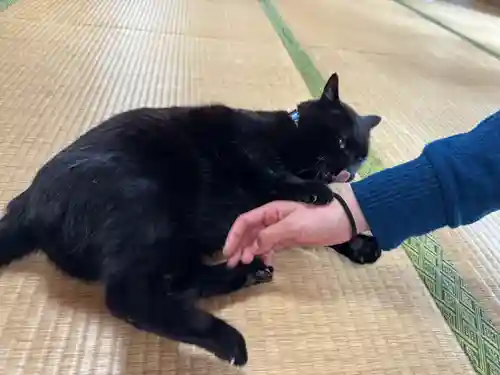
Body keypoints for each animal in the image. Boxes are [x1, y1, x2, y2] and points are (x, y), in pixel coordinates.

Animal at [0, 72, 380, 364]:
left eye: (362, 157)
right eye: (342, 142)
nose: (349, 173)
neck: (292, 143)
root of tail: (26, 203)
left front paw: (361, 245)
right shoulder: (248, 149)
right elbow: (276, 177)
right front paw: (315, 190)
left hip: (176, 237)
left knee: (177, 282)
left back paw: (249, 273)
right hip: (145, 205)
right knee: (129, 296)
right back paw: (228, 340)